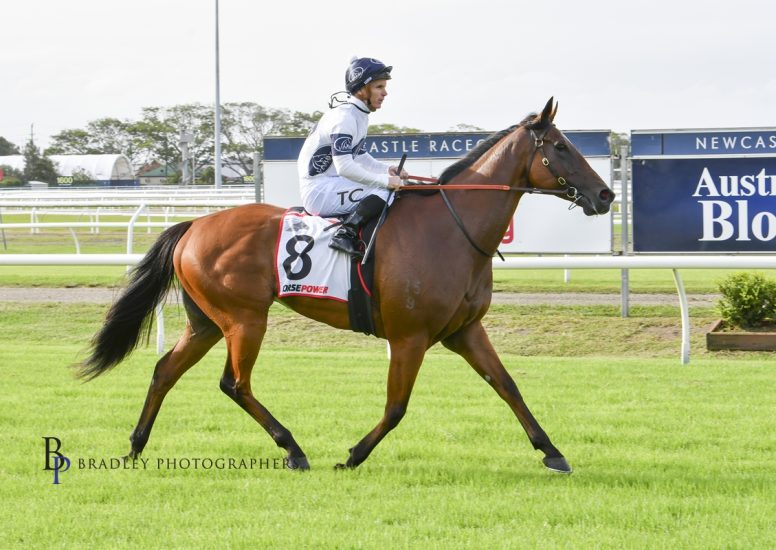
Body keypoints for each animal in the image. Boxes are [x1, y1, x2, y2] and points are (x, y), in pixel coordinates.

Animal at [78, 98, 615, 473]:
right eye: (561, 147)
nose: (606, 194)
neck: (451, 228)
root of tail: (193, 225)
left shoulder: (465, 331)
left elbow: (508, 386)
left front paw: (552, 452)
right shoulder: (410, 336)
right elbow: (397, 407)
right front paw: (354, 455)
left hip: (207, 322)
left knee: (165, 371)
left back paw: (135, 446)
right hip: (244, 319)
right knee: (235, 383)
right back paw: (293, 448)